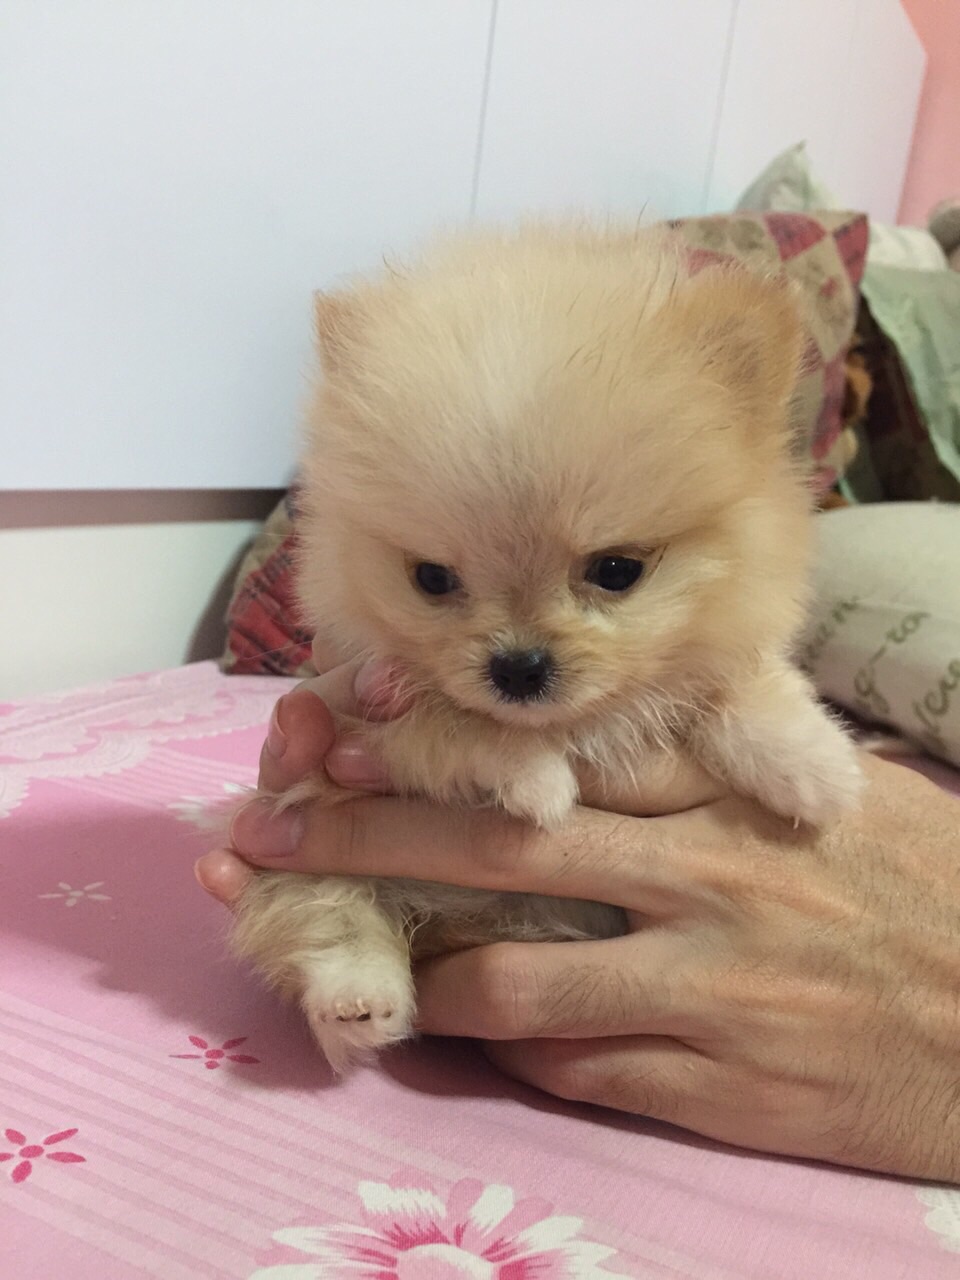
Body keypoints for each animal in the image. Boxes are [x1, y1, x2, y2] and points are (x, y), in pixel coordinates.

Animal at [231, 223, 863, 1070]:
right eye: (432, 578)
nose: (518, 666)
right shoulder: (361, 720)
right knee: (333, 916)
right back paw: (359, 1002)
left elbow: (741, 685)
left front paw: (815, 767)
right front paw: (536, 779)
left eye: (617, 570)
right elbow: (457, 725)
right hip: (304, 849)